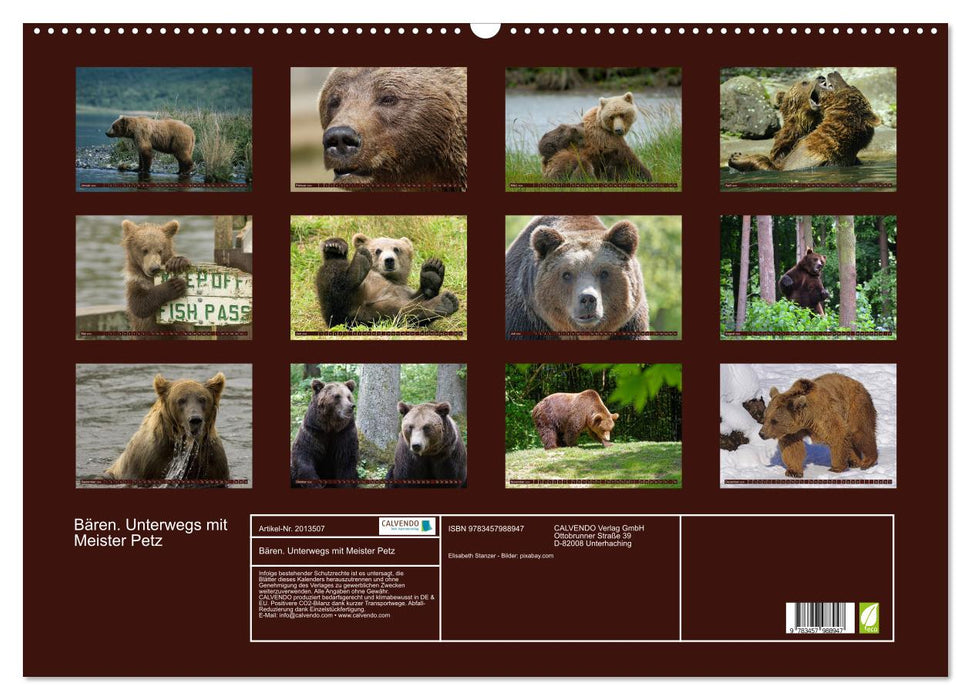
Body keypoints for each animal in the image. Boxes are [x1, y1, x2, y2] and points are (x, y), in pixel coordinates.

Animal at [315, 236, 459, 327]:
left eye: (396, 249)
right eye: (378, 250)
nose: (389, 260)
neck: (388, 277)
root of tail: (354, 310)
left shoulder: (402, 290)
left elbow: (418, 298)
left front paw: (432, 271)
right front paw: (334, 245)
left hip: (375, 315)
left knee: (403, 312)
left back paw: (444, 302)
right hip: (338, 310)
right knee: (332, 274)